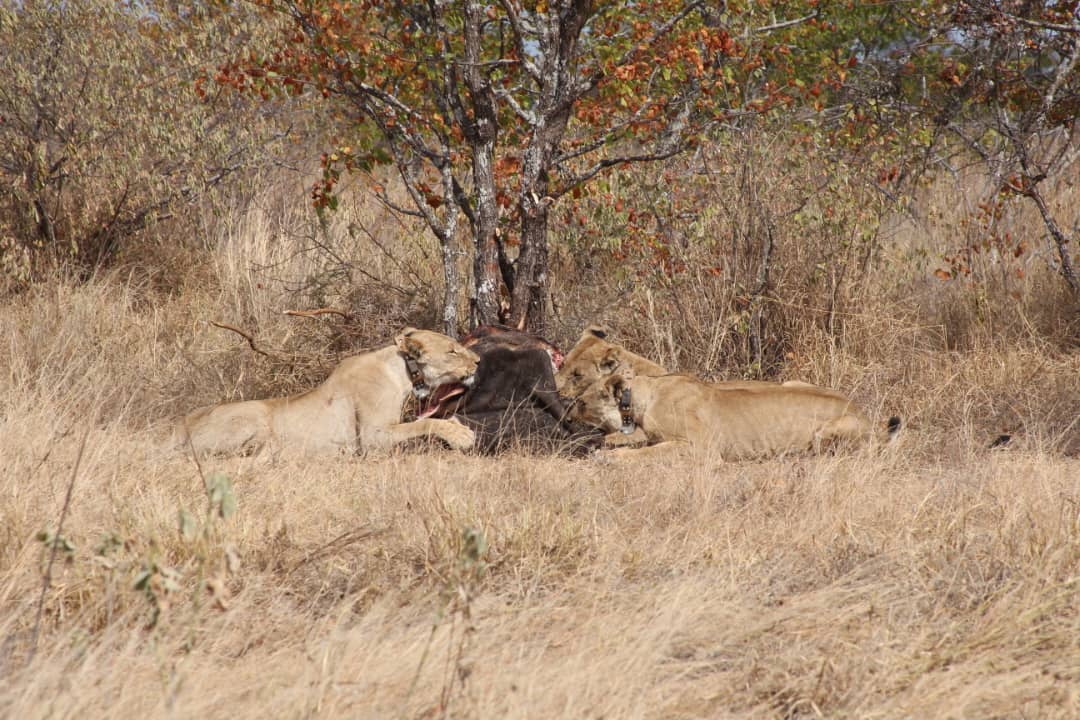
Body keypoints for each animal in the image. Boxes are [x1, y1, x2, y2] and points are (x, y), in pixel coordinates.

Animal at [175, 328, 479, 457]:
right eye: (452, 350)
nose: (478, 361)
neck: (404, 371)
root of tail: (181, 425)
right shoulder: (372, 436)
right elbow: (425, 423)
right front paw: (462, 436)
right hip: (254, 414)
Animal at [572, 364, 898, 460]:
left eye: (581, 403)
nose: (566, 419)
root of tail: (867, 416)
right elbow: (642, 445)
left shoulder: (702, 448)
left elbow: (647, 453)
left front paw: (609, 456)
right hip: (790, 381)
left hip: (825, 433)